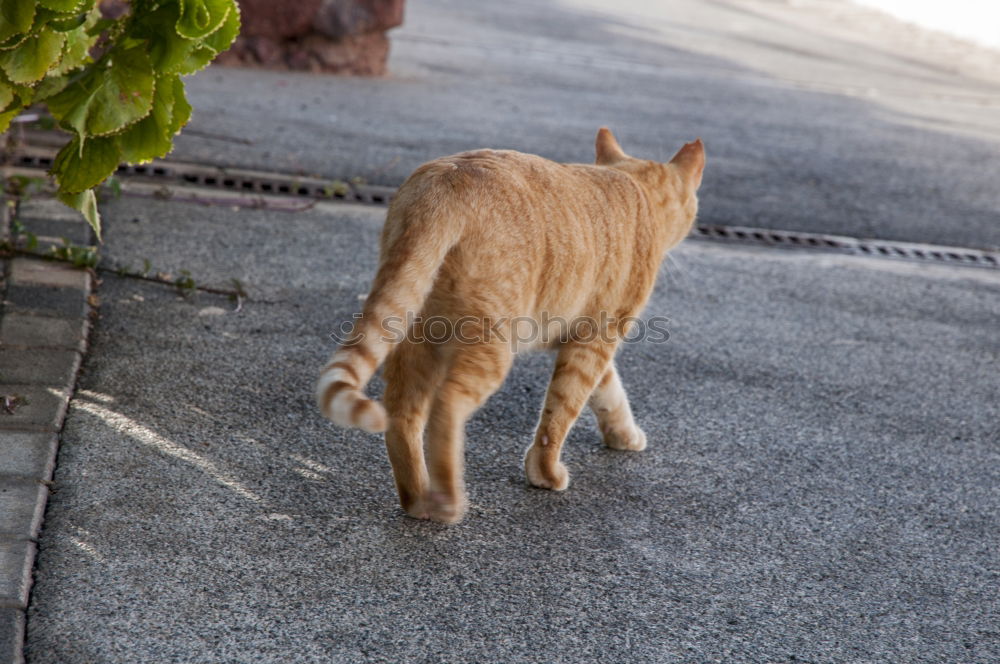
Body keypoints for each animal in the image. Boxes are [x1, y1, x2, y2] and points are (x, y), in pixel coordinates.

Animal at [318, 128, 704, 524]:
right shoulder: (596, 338)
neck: (633, 185)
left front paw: (623, 434)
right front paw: (545, 472)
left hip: (418, 330)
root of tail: (445, 180)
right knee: (447, 407)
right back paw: (449, 500)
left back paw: (417, 499)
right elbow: (563, 410)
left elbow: (608, 392)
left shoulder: (584, 337)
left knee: (402, 412)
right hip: (491, 343)